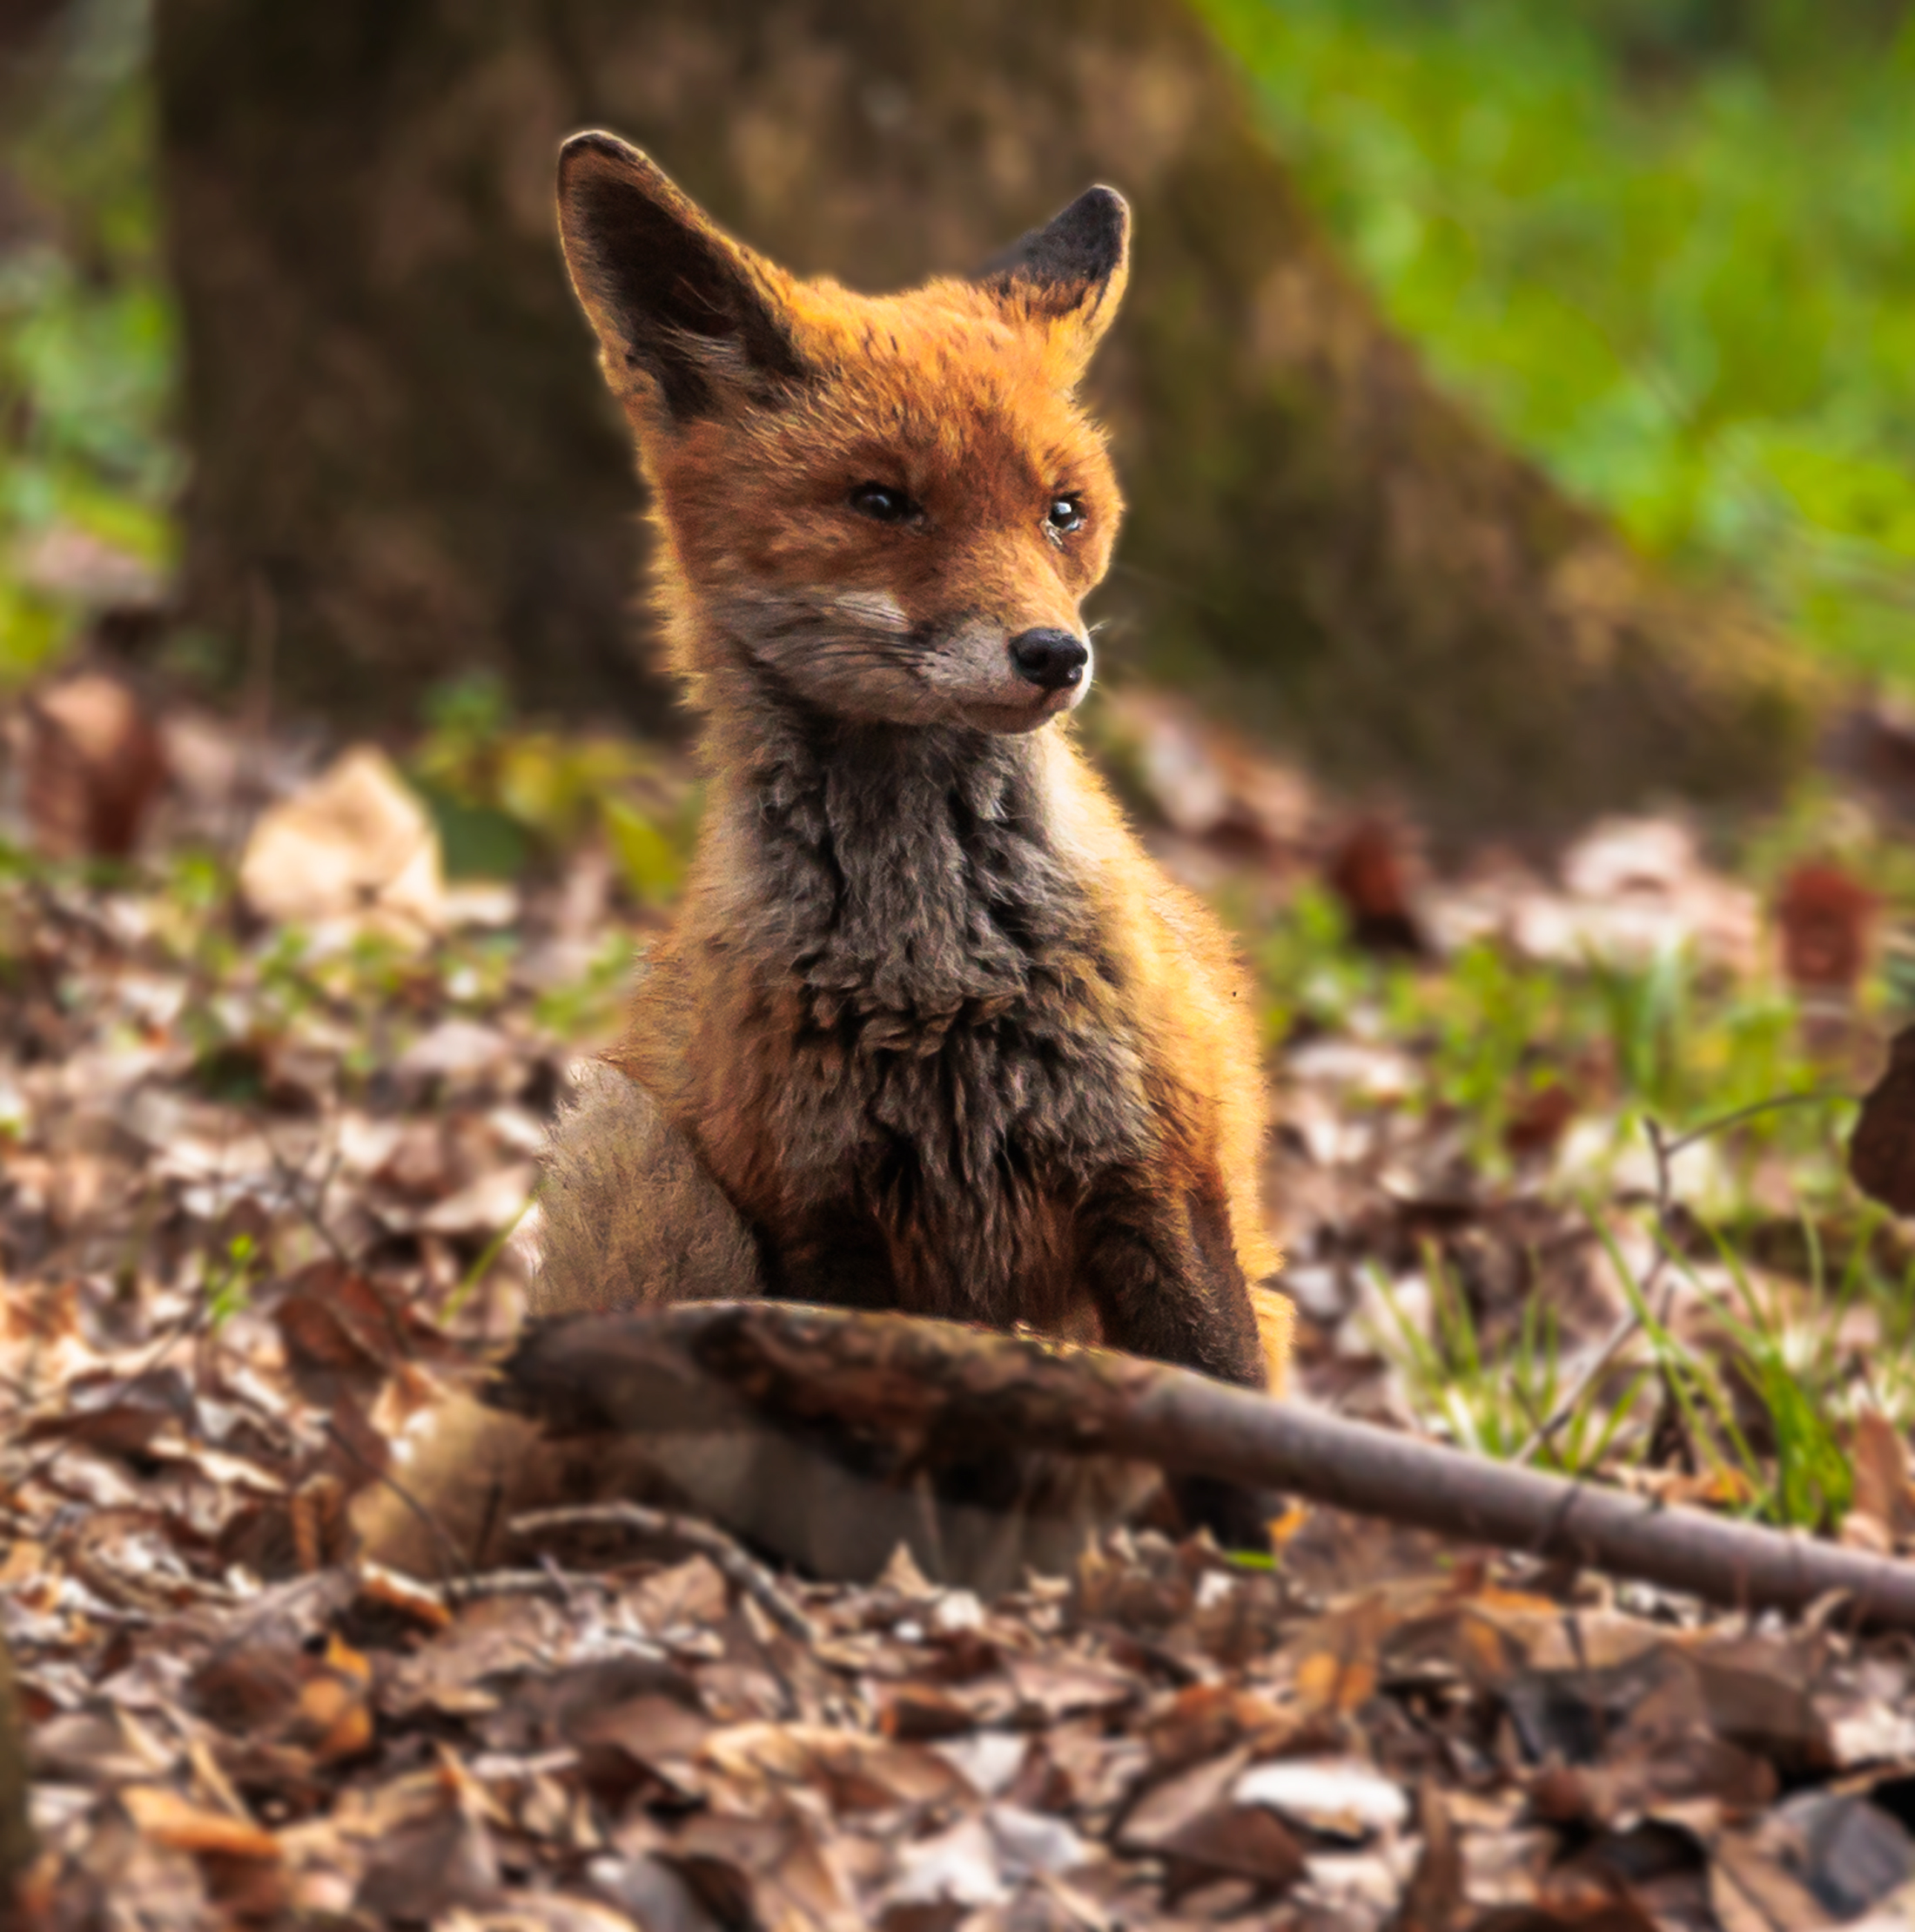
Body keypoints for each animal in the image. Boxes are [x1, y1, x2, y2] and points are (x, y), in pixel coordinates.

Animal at [359, 133, 1291, 1585]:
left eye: (1064, 511)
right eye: (884, 502)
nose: (1056, 655)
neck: (936, 969)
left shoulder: (1155, 1167)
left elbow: (1227, 1430)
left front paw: (1260, 1597)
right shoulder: (818, 1215)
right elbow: (850, 1454)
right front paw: (874, 1596)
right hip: (641, 1167)